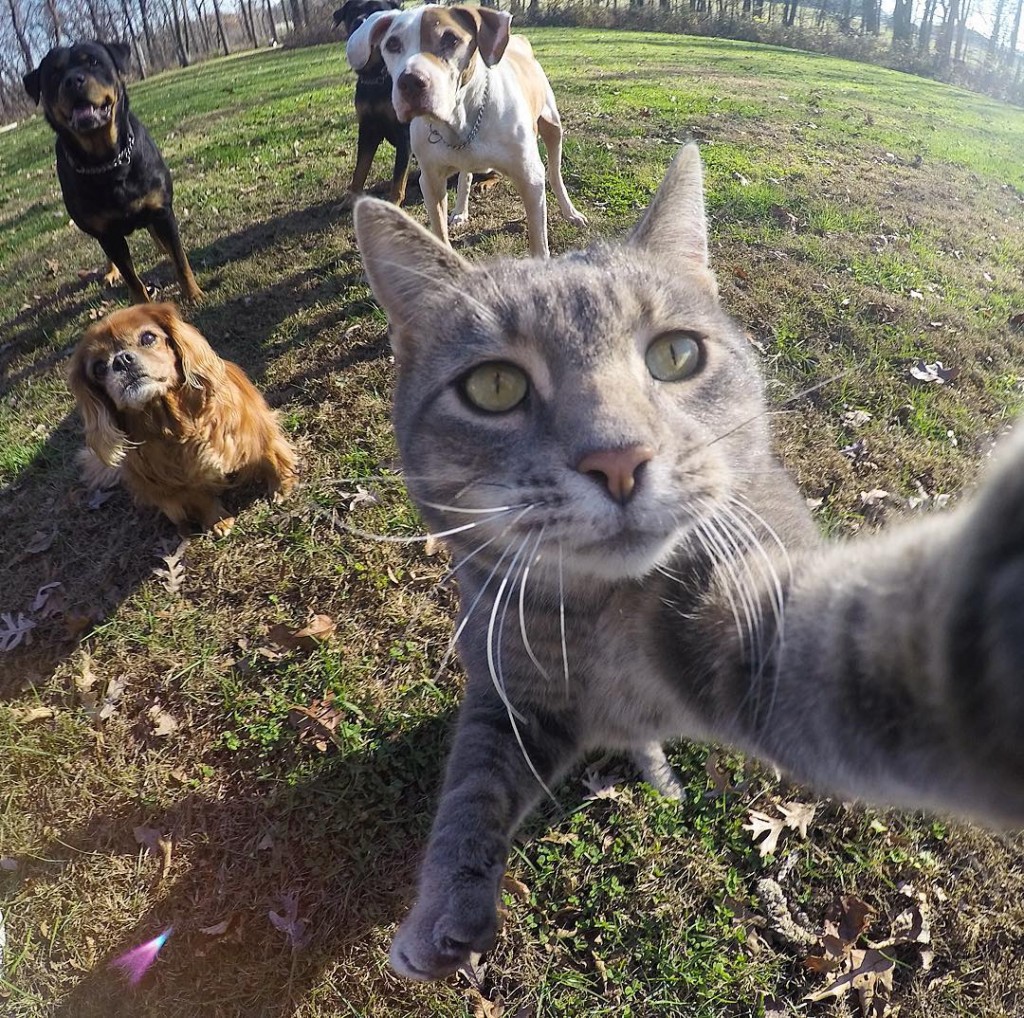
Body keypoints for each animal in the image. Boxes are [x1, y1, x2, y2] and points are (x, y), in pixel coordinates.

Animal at [23, 41, 201, 303]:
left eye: (93, 61)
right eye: (54, 73)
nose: (72, 80)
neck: (109, 161)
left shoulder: (161, 210)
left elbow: (179, 259)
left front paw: (193, 293)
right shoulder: (107, 234)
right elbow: (132, 278)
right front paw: (141, 303)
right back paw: (111, 272)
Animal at [69, 301, 296, 536]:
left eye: (148, 338)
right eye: (98, 368)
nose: (121, 360)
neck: (171, 422)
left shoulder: (254, 432)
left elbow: (269, 456)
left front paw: (281, 486)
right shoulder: (176, 483)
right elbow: (200, 499)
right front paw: (218, 520)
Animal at [333, 0, 409, 207]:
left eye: (377, 10)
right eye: (353, 11)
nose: (359, 22)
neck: (376, 77)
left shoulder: (404, 132)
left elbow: (399, 173)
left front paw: (393, 201)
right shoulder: (367, 128)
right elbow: (360, 168)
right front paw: (350, 200)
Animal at [348, 4, 585, 258]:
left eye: (451, 39)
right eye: (392, 44)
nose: (410, 81)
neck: (459, 120)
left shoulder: (529, 177)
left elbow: (538, 240)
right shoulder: (430, 180)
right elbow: (439, 229)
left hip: (552, 126)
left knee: (555, 173)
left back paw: (570, 212)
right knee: (465, 175)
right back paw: (460, 211)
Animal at [352, 143, 1024, 974]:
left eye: (675, 355)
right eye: (495, 385)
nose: (617, 459)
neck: (599, 624)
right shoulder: (505, 682)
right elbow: (473, 781)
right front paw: (443, 909)